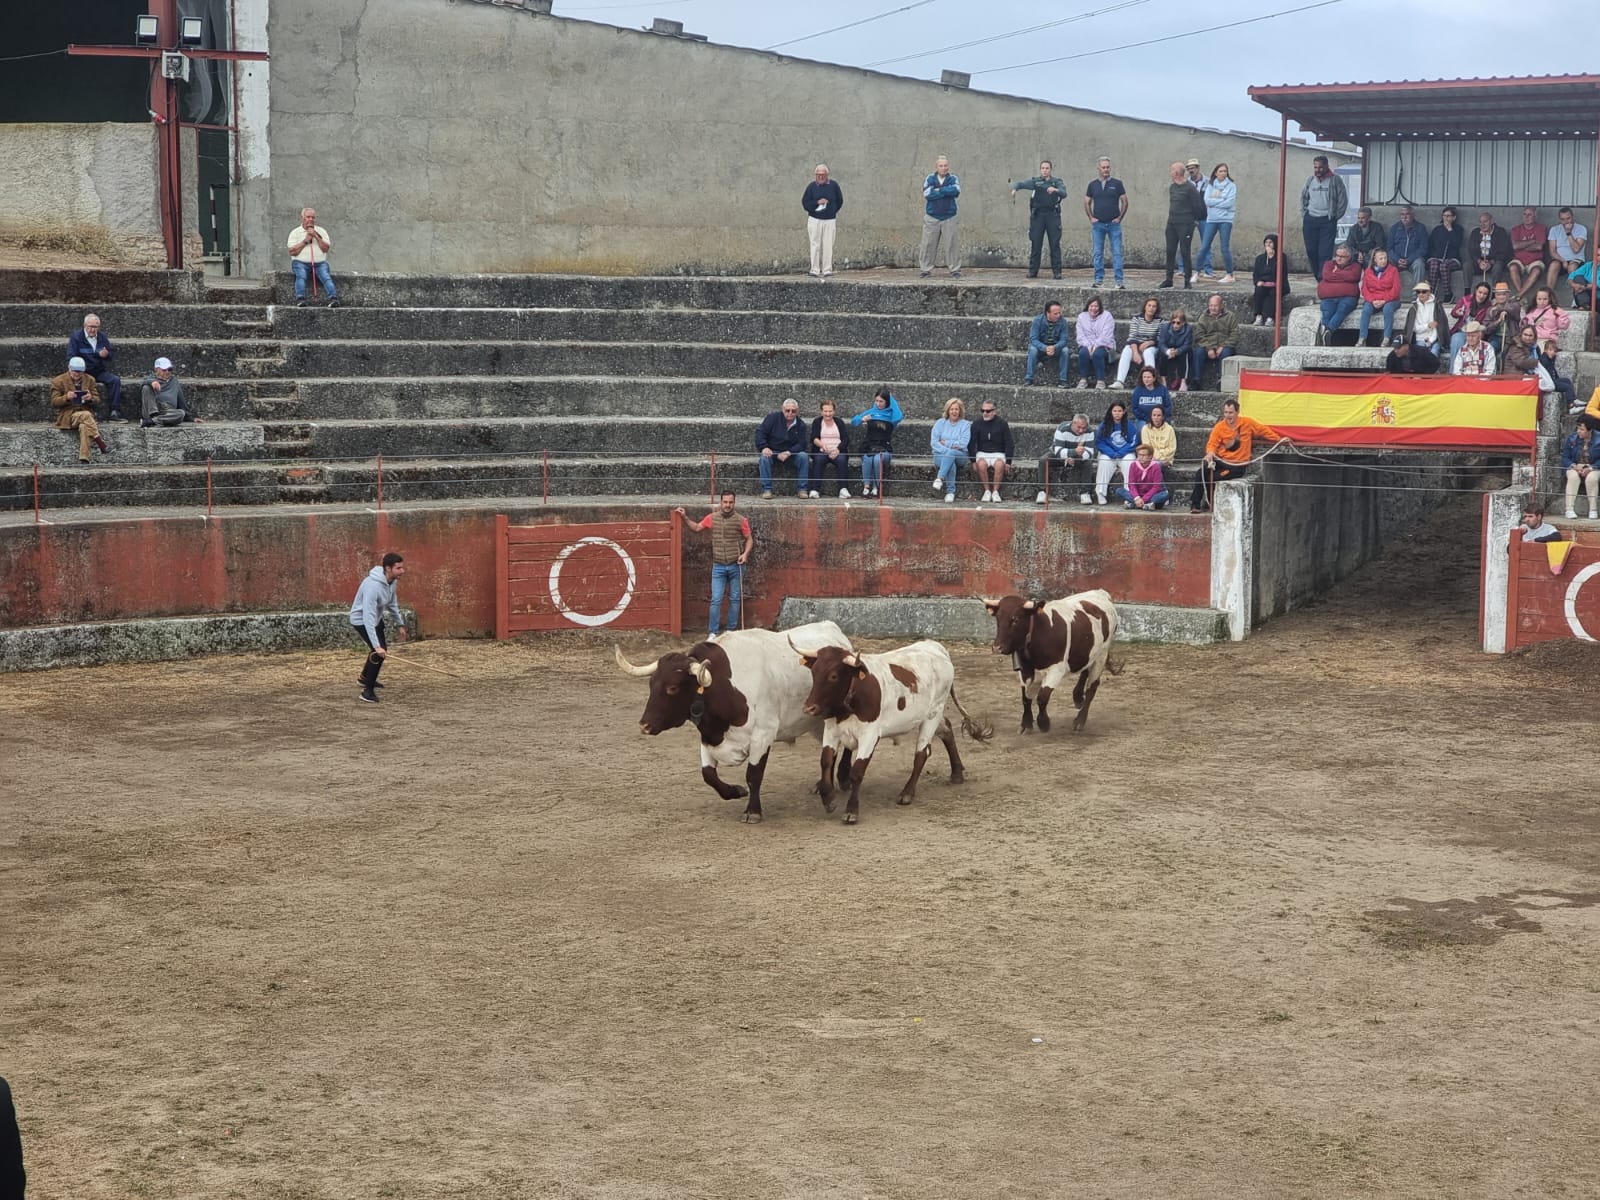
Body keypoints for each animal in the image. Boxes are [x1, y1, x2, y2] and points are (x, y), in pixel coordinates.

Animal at [614, 624, 857, 825]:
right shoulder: (709, 736)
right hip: (817, 724)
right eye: (651, 683)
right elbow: (708, 775)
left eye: (672, 688)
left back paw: (843, 778)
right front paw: (735, 791)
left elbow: (753, 775)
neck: (725, 686)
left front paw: (752, 811)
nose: (644, 725)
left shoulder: (763, 736)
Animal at [796, 640, 992, 825]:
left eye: (833, 676)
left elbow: (857, 772)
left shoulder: (869, 735)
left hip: (933, 714)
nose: (809, 708)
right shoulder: (831, 731)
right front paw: (828, 799)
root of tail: (936, 647)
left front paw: (851, 811)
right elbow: (825, 762)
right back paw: (957, 773)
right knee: (947, 729)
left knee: (922, 753)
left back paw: (907, 792)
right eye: (814, 672)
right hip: (930, 715)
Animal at [979, 588, 1120, 739]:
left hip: (1101, 655)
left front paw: (1044, 723)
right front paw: (1026, 724)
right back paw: (1077, 697)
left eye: (1015, 619)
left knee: (1092, 687)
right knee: (1085, 670)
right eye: (998, 619)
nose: (997, 647)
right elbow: (1025, 697)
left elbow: (1042, 697)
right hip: (1088, 652)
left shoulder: (1056, 669)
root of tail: (1101, 592)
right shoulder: (1025, 669)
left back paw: (1079, 721)